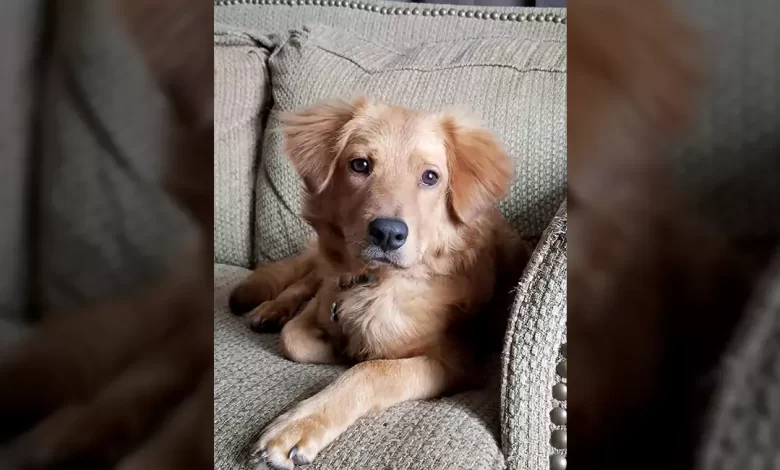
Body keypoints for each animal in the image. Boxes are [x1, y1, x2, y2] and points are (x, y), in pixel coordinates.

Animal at [229, 97, 529, 468]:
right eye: (360, 165)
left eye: (430, 177)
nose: (388, 233)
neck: (373, 283)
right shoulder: (325, 298)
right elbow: (293, 337)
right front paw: (334, 345)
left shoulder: (456, 360)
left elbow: (372, 370)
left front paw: (303, 419)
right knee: (301, 282)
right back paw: (270, 309)